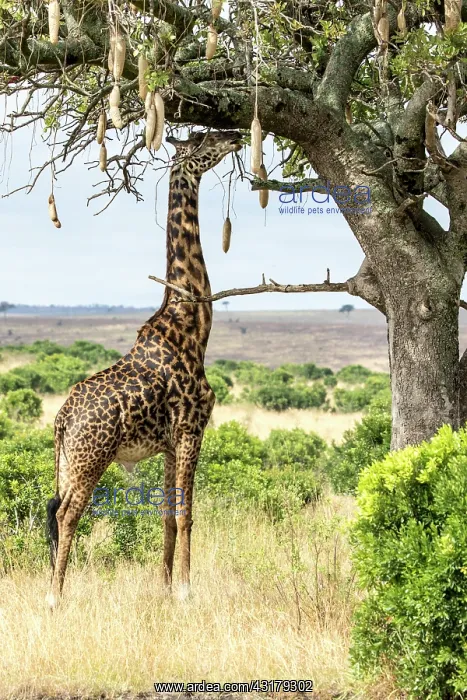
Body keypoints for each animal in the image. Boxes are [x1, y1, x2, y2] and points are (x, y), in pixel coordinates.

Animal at [46, 130, 243, 608]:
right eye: (204, 140)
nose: (235, 136)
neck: (192, 325)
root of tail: (61, 419)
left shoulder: (170, 444)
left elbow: (168, 516)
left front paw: (166, 587)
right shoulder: (192, 429)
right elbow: (187, 514)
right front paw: (188, 591)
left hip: (69, 460)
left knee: (56, 509)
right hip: (91, 458)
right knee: (67, 513)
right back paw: (55, 597)